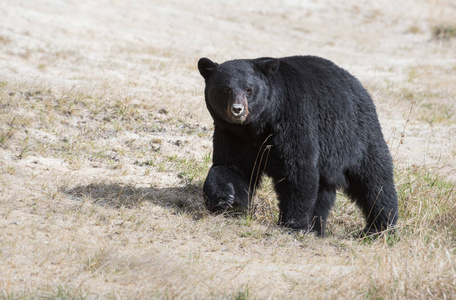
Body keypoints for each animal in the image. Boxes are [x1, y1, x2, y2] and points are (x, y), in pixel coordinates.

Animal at [198, 55, 398, 236]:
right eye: (225, 90)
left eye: (249, 90)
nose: (237, 110)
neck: (258, 126)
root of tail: (362, 88)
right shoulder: (233, 134)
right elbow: (232, 167)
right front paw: (225, 198)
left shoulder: (293, 119)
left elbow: (297, 170)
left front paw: (292, 224)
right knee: (324, 192)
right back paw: (316, 228)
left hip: (356, 137)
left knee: (375, 180)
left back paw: (380, 228)